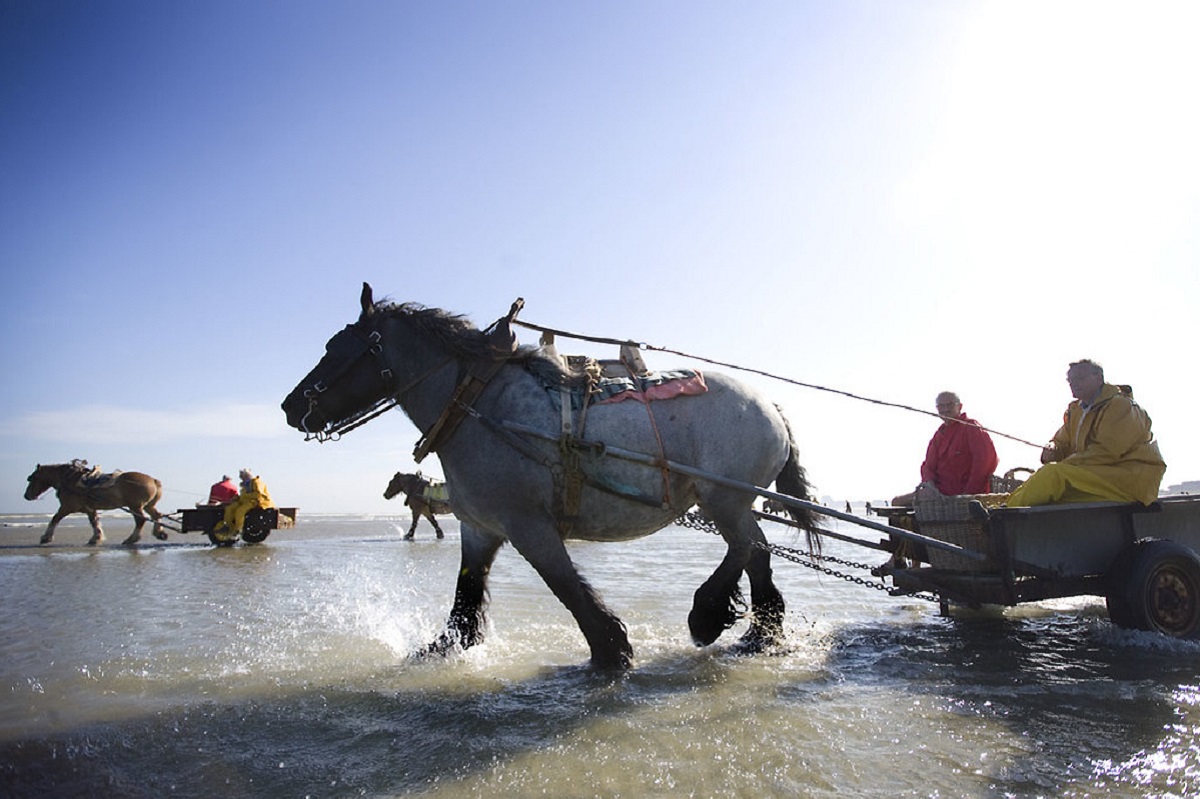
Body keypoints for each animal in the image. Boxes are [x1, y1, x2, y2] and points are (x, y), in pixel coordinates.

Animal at [24, 463, 165, 544]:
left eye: (32, 478)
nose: (26, 496)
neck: (70, 480)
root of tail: (153, 480)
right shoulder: (89, 509)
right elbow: (94, 522)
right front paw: (96, 538)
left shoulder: (67, 507)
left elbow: (55, 519)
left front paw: (46, 537)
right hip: (147, 506)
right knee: (156, 515)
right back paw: (159, 533)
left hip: (135, 506)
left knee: (140, 520)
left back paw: (131, 539)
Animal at [285, 283, 820, 667]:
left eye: (336, 347)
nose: (291, 407)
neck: (480, 404)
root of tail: (771, 405)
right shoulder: (479, 527)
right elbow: (464, 598)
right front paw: (440, 647)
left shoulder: (529, 527)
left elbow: (567, 587)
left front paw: (612, 650)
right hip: (728, 503)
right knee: (757, 553)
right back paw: (761, 632)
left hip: (722, 498)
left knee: (748, 547)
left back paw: (708, 614)